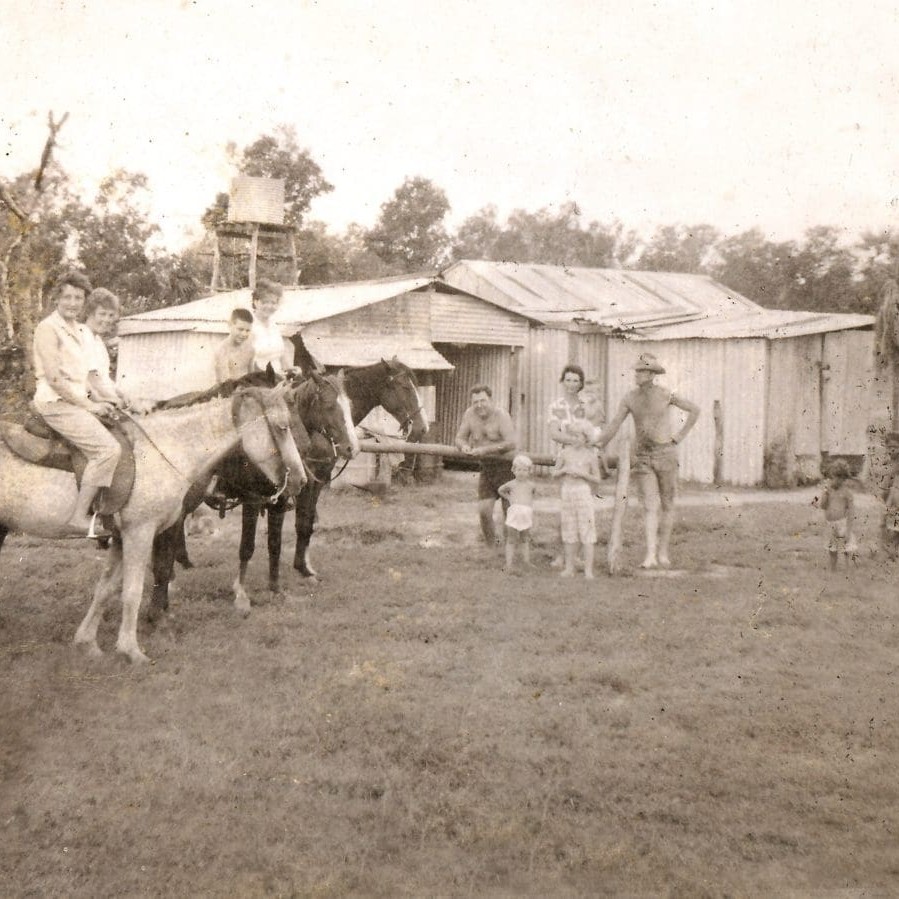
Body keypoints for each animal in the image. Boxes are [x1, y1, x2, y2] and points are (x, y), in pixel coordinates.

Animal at [0, 384, 306, 664]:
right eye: (282, 427)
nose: (301, 480)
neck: (163, 453)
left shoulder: (121, 538)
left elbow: (107, 588)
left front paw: (87, 643)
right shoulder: (140, 533)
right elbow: (133, 591)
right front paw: (131, 650)